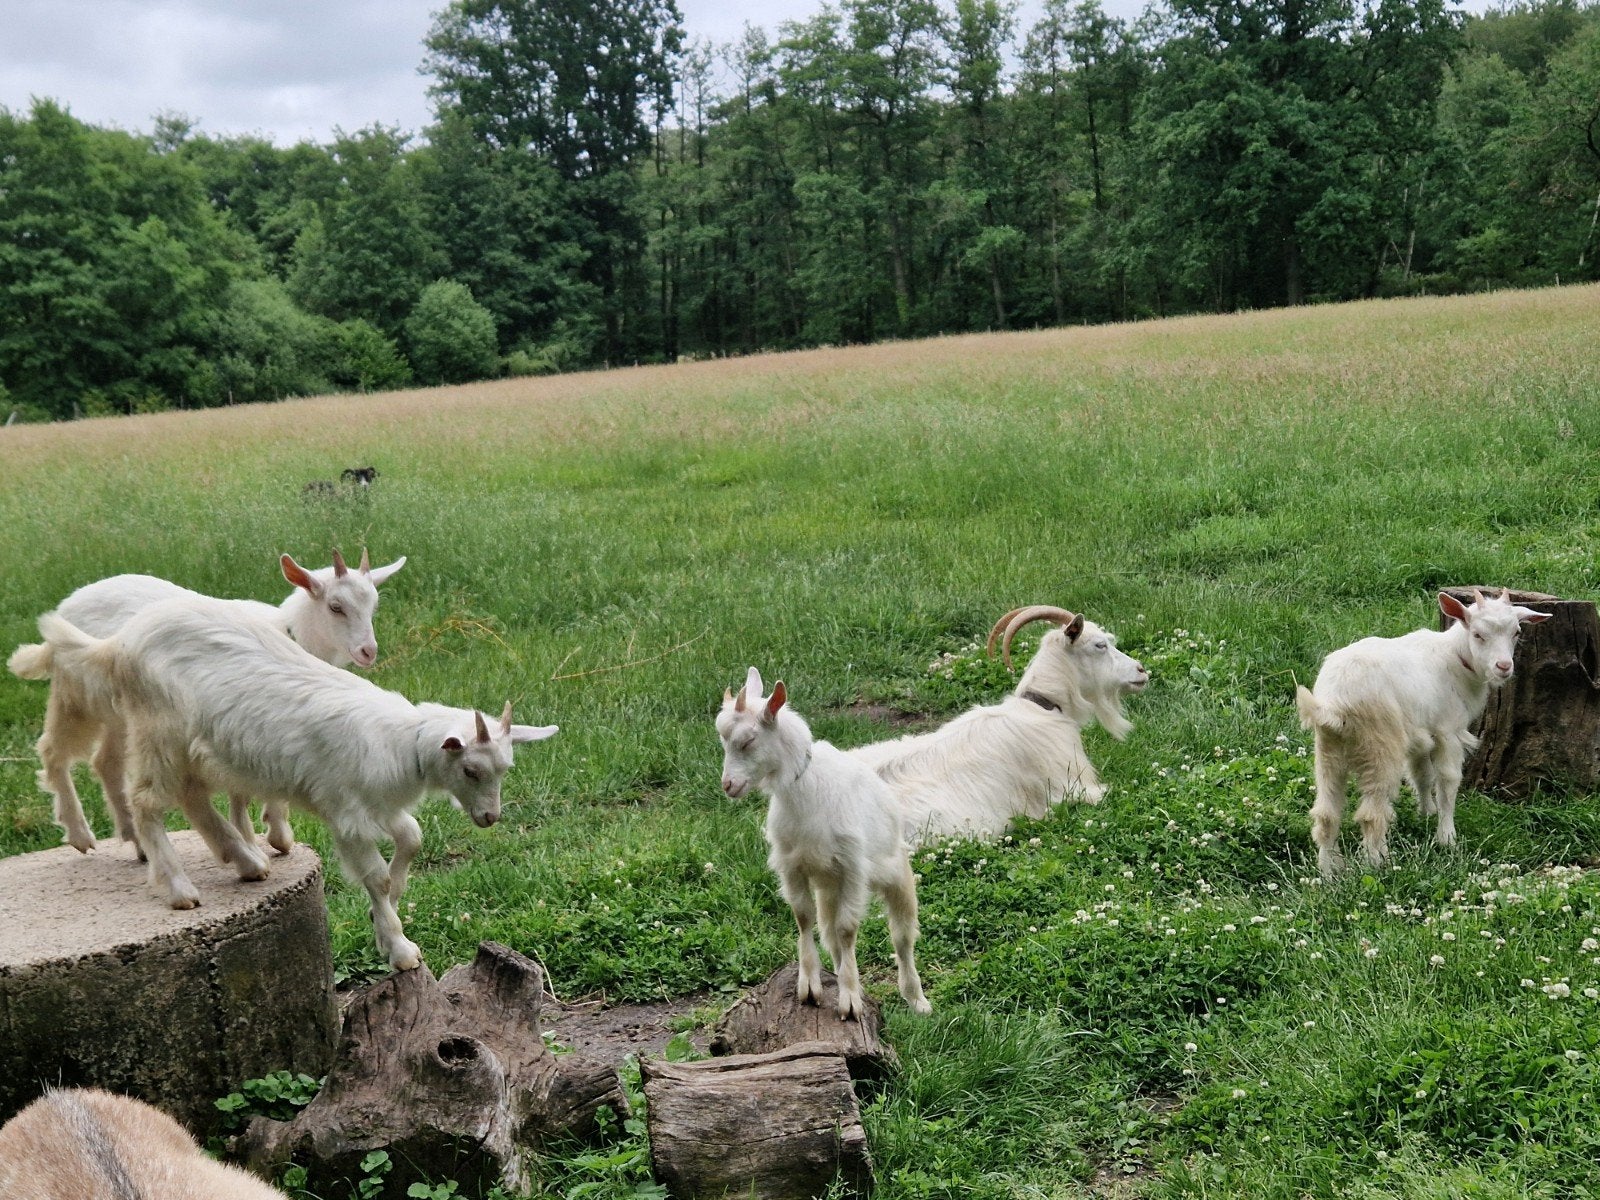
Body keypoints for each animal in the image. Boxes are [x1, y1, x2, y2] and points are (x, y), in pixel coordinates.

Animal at [7, 549, 405, 857]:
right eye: (336, 607)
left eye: (374, 605)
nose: (368, 651)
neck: (287, 632)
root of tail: (69, 602)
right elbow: (241, 790)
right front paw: (255, 839)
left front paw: (273, 835)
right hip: (76, 692)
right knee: (54, 750)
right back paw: (79, 834)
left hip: (126, 713)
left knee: (105, 762)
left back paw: (134, 839)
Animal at [32, 597, 555, 970]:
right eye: (471, 770)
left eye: (505, 768)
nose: (489, 817)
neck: (399, 744)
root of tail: (118, 642)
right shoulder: (346, 814)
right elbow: (376, 876)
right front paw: (399, 946)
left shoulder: (380, 806)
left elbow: (412, 839)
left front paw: (392, 904)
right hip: (157, 731)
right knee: (145, 802)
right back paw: (178, 887)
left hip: (189, 746)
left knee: (191, 795)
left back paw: (246, 861)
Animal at [718, 668, 930, 1020]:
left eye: (747, 741)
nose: (728, 785)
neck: (804, 793)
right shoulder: (792, 865)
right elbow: (804, 918)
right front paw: (810, 987)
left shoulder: (853, 868)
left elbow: (848, 929)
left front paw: (850, 1000)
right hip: (829, 887)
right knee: (829, 934)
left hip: (895, 873)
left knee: (901, 937)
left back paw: (916, 999)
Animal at [1297, 588, 1549, 876]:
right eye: (1477, 634)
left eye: (1516, 632)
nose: (1504, 666)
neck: (1455, 659)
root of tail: (1334, 705)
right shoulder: (1448, 730)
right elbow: (1447, 780)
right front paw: (1447, 837)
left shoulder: (1422, 733)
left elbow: (1422, 774)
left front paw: (1426, 814)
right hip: (1380, 745)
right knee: (1371, 814)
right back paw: (1378, 864)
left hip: (1328, 749)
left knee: (1326, 814)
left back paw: (1328, 871)